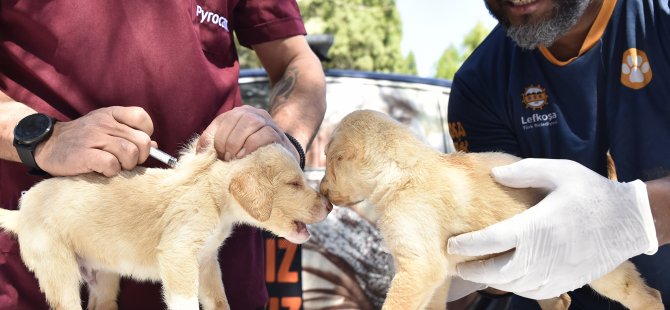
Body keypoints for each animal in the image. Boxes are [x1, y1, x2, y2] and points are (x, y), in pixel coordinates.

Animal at [0, 138, 334, 310]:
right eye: (294, 184)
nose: (330, 205)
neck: (213, 192)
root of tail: (21, 211)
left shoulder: (207, 263)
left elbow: (219, 302)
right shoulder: (179, 256)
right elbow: (186, 304)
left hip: (104, 280)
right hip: (60, 273)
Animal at [322, 109, 668, 310]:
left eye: (329, 161)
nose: (322, 193)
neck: (401, 171)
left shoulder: (418, 270)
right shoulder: (437, 278)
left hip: (605, 271)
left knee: (650, 296)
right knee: (561, 298)